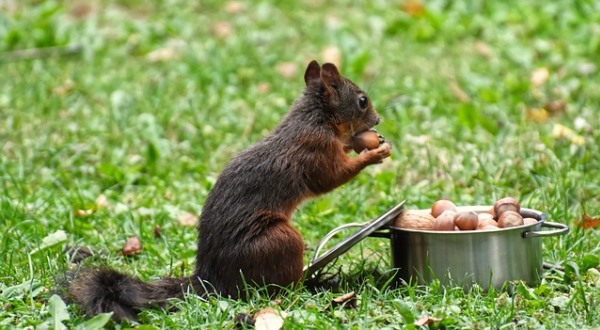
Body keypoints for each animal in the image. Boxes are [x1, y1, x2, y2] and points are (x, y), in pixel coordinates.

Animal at [67, 59, 394, 320]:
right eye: (362, 100)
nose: (378, 119)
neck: (316, 119)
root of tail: (208, 279)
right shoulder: (315, 151)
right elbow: (330, 178)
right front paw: (372, 154)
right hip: (279, 239)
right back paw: (309, 287)